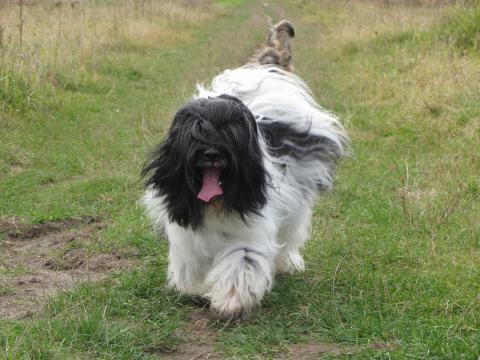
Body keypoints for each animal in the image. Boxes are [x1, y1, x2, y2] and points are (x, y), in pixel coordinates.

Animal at [141, 19, 346, 320]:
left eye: (228, 133)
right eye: (196, 134)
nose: (212, 153)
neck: (216, 203)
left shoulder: (248, 232)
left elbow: (241, 262)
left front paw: (230, 301)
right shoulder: (188, 236)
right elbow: (191, 265)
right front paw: (194, 288)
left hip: (295, 208)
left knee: (290, 236)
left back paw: (287, 262)